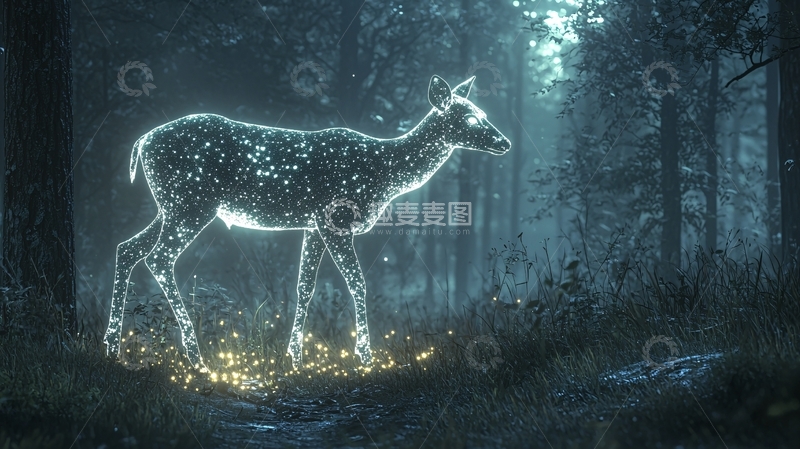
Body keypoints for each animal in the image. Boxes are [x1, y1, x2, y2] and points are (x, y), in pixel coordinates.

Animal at [103, 75, 511, 372]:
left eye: (484, 112)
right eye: (471, 117)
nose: (505, 143)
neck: (384, 171)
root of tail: (142, 143)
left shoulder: (313, 225)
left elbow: (304, 287)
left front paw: (294, 357)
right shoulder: (335, 218)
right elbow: (357, 283)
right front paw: (365, 356)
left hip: (172, 205)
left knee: (128, 248)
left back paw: (111, 347)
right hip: (191, 201)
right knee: (159, 257)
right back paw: (195, 356)